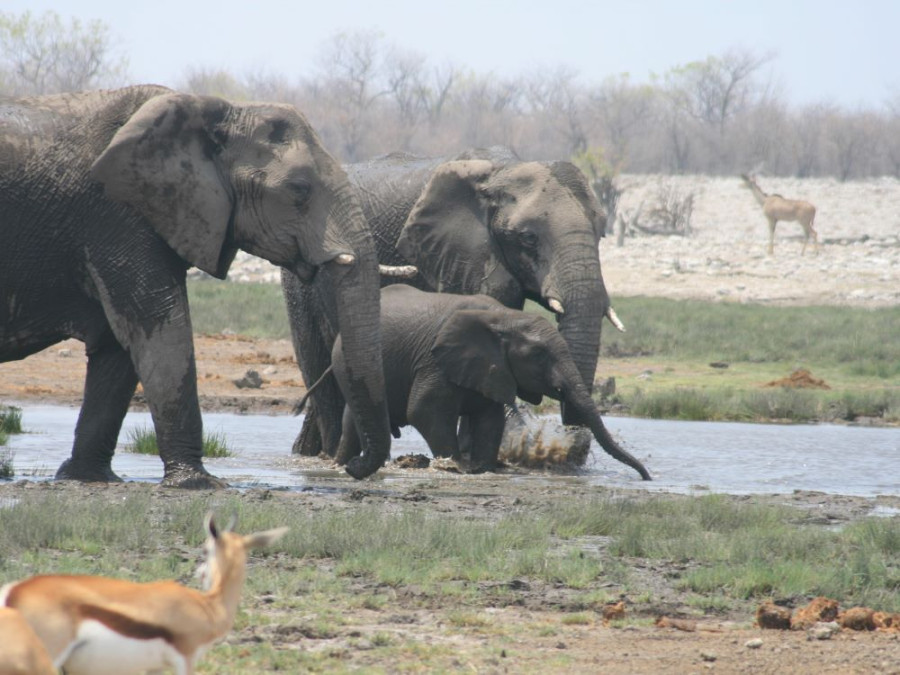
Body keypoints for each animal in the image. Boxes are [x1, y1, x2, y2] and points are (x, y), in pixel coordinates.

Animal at [0, 86, 390, 486]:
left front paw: (87, 478)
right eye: (299, 189)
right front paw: (199, 484)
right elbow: (162, 331)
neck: (219, 110)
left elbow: (118, 347)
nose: (351, 467)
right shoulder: (117, 214)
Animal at [0, 516, 286, 672]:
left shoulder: (155, 667)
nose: (200, 574)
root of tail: (15, 591)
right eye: (205, 549)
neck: (208, 605)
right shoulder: (185, 659)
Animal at [284, 148, 624, 460]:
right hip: (302, 278)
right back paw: (326, 455)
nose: (569, 444)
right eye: (528, 238)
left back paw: (307, 453)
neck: (504, 169)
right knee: (319, 368)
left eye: (601, 233)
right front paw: (512, 446)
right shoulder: (461, 255)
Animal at [298, 286, 652, 480]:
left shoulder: (493, 368)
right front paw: (456, 466)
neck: (505, 318)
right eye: (539, 356)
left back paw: (343, 464)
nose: (647, 477)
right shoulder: (436, 360)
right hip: (346, 361)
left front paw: (483, 468)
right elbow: (424, 411)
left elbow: (490, 419)